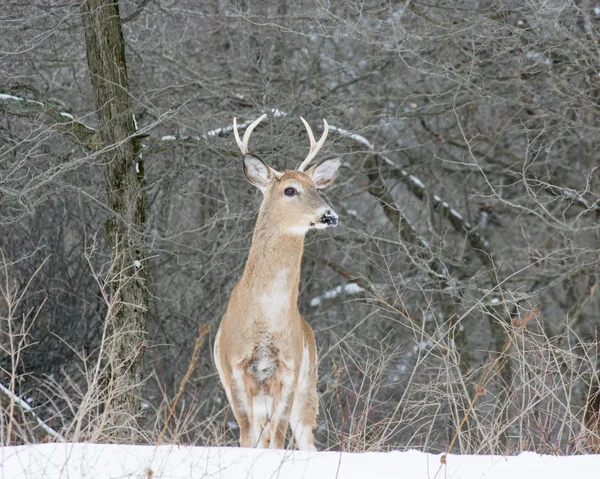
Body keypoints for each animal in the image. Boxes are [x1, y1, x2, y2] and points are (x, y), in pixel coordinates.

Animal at [213, 114, 340, 452]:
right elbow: (247, 436)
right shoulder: (234, 365)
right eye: (290, 190)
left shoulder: (290, 367)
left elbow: (280, 437)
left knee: (305, 439)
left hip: (308, 387)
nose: (329, 215)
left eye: (317, 188)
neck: (265, 316)